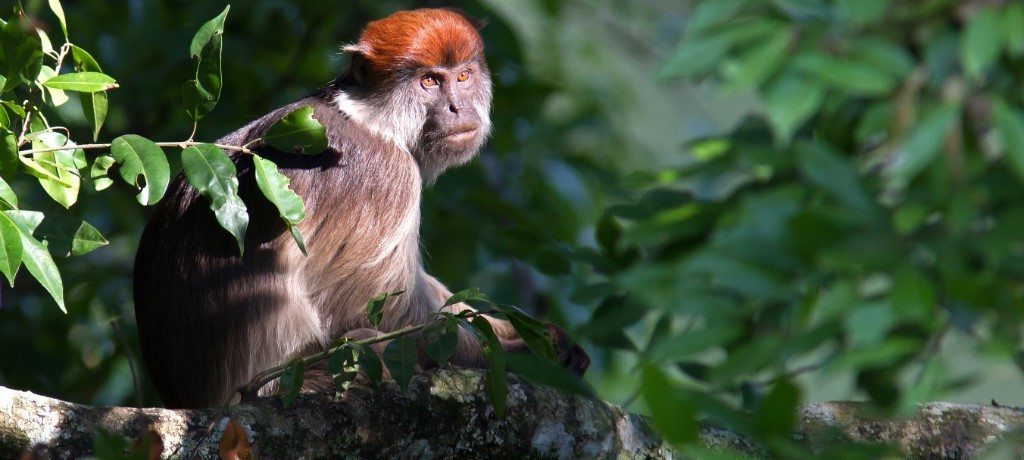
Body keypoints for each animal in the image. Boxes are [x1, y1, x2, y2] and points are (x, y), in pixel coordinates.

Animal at [132, 8, 589, 409]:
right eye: (429, 81)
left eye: (463, 76)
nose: (458, 108)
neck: (371, 119)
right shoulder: (388, 175)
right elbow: (369, 312)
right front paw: (521, 355)